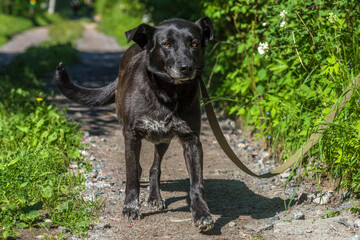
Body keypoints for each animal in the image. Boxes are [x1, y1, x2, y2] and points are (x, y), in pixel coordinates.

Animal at [55, 16, 215, 231]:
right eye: (167, 44)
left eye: (195, 44)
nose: (186, 67)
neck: (167, 93)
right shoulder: (131, 136)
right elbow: (131, 176)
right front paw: (131, 207)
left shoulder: (191, 140)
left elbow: (196, 182)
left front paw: (201, 213)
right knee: (137, 169)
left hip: (163, 140)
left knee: (154, 167)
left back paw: (155, 197)